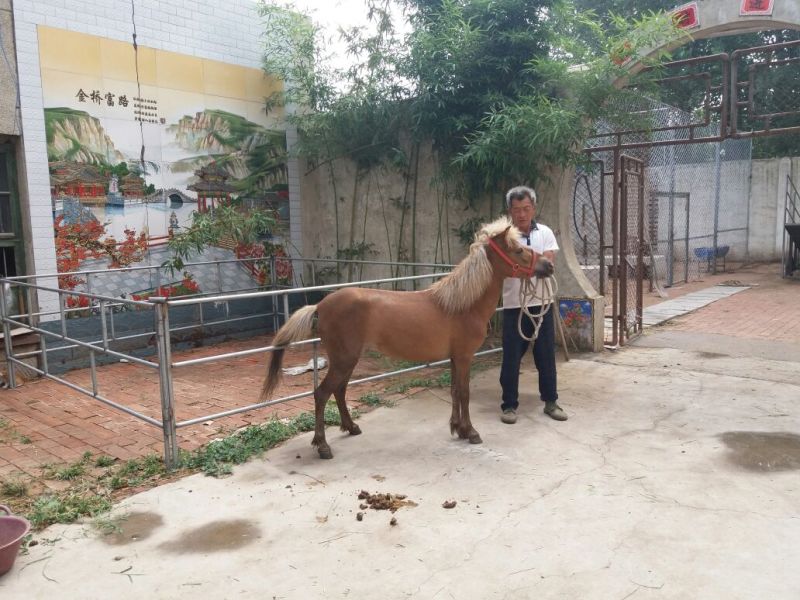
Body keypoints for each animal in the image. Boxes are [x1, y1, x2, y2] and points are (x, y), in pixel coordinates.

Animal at [261, 215, 548, 459]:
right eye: (518, 250)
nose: (548, 265)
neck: (461, 305)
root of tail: (320, 306)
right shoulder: (465, 357)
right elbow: (465, 392)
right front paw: (471, 432)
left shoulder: (455, 358)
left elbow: (455, 391)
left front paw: (457, 428)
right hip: (343, 360)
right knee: (322, 394)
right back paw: (322, 446)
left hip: (347, 359)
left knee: (339, 391)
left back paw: (351, 428)